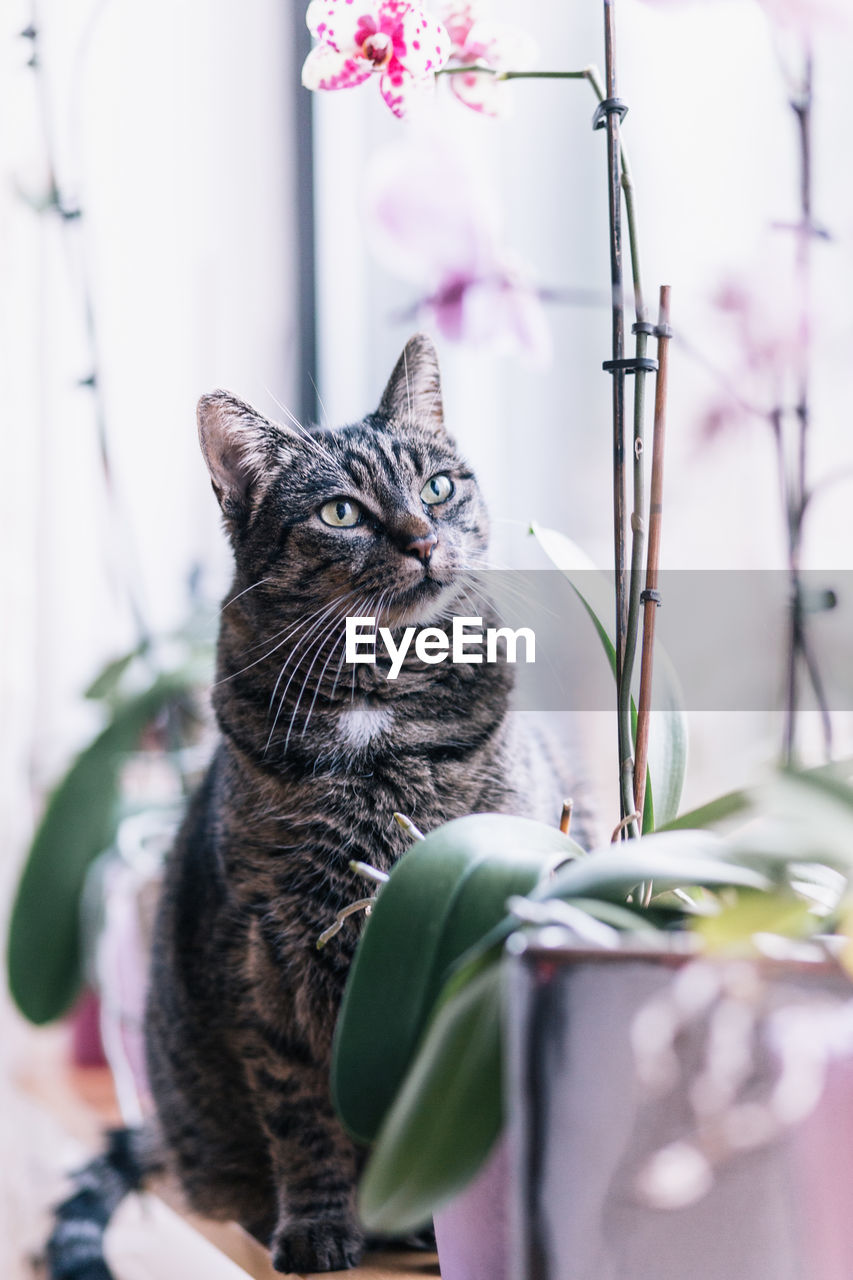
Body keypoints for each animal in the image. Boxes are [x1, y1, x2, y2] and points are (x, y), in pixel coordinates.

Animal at [48, 335, 578, 1274]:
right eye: (341, 513)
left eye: (437, 487)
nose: (422, 538)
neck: (379, 705)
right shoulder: (271, 952)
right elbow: (301, 1114)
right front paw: (319, 1226)